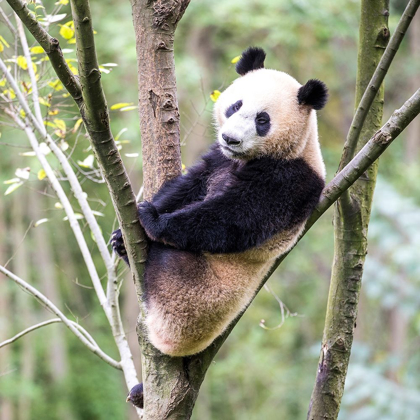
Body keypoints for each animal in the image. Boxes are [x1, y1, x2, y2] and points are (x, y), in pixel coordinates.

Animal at [112, 46, 328, 358]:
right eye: (235, 106)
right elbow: (189, 187)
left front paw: (153, 220)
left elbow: (238, 216)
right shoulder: (218, 158)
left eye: (262, 120)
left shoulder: (291, 179)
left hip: (193, 293)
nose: (230, 139)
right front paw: (124, 231)